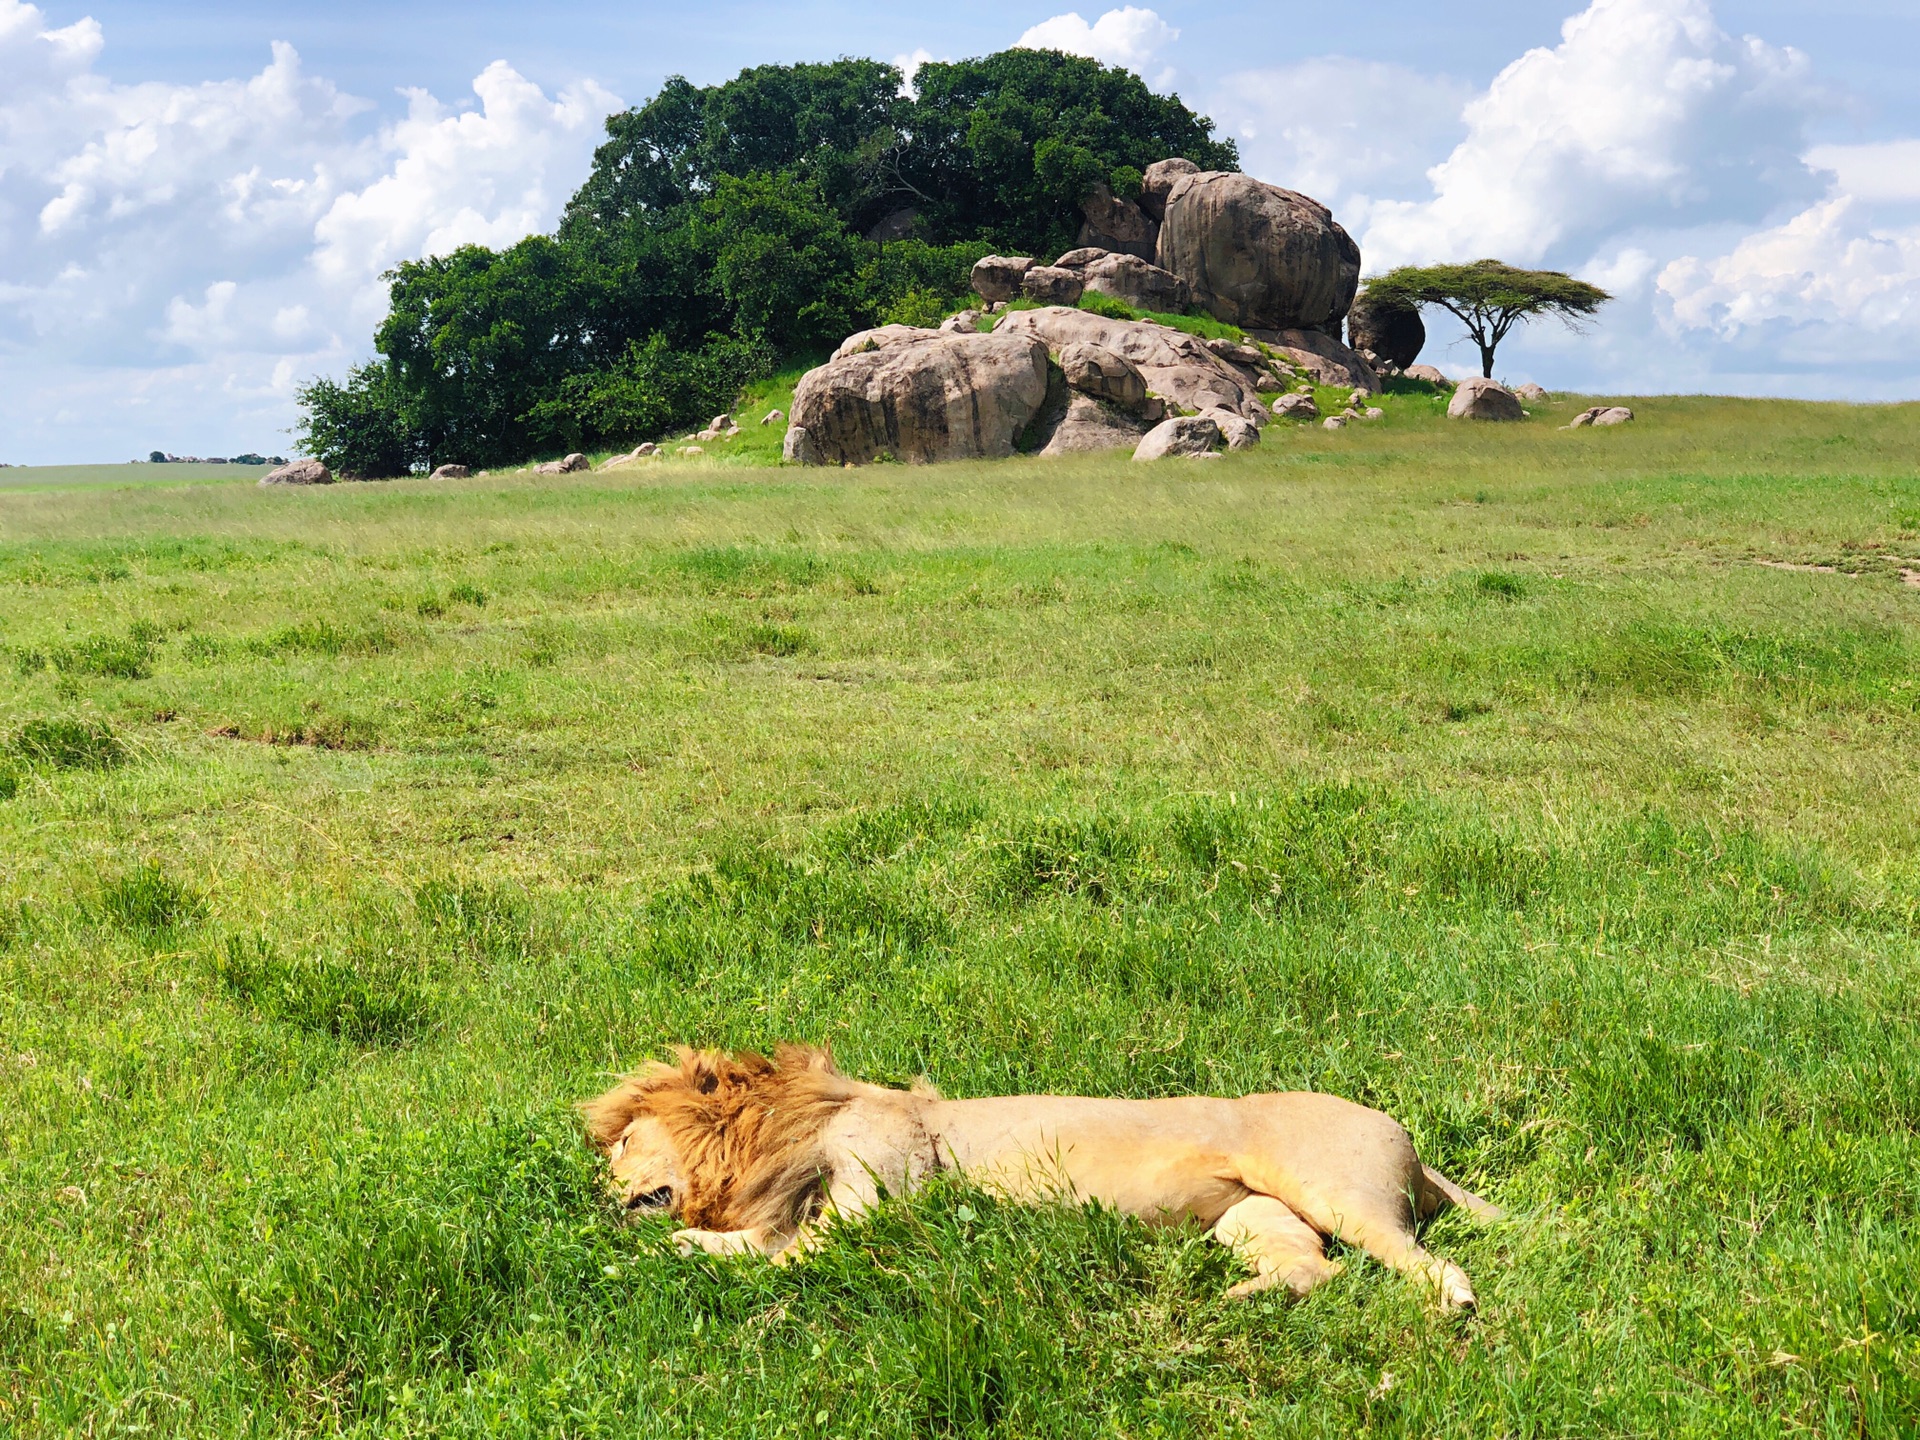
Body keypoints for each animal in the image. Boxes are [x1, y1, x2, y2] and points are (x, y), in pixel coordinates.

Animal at [579, 1052, 1497, 1305]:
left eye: (620, 1143)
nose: (596, 1194)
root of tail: (1408, 1137)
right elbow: (755, 1244)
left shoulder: (873, 1205)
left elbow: (770, 1256)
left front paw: (640, 1257)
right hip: (1249, 1219)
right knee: (1316, 1270)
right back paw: (1235, 1301)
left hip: (1333, 1189)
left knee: (1431, 1262)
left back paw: (1455, 1304)